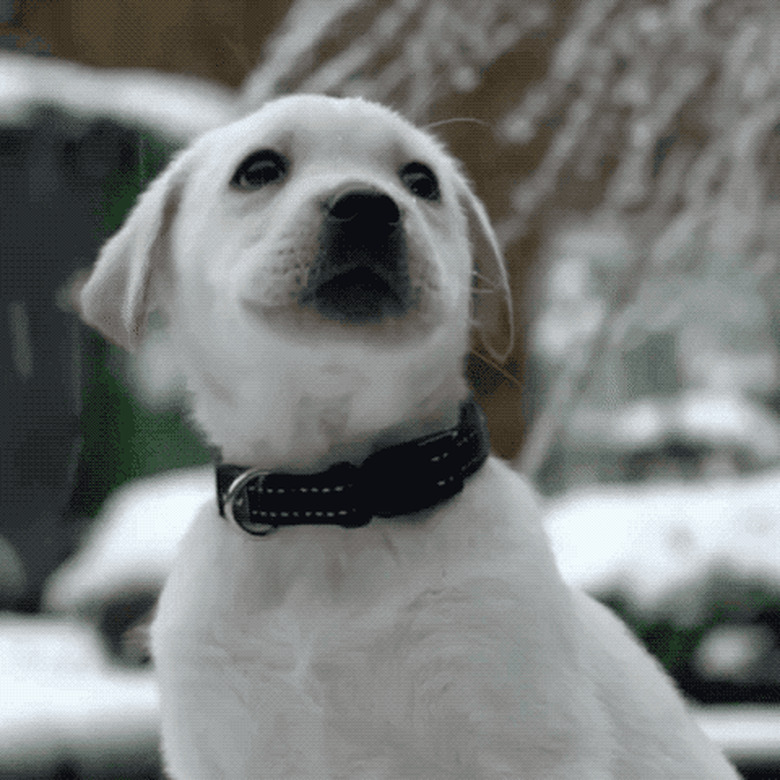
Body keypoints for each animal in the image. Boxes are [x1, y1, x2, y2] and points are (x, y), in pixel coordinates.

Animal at [79, 97, 736, 780]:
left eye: (421, 181)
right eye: (258, 170)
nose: (368, 205)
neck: (334, 501)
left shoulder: (525, 733)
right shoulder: (217, 747)